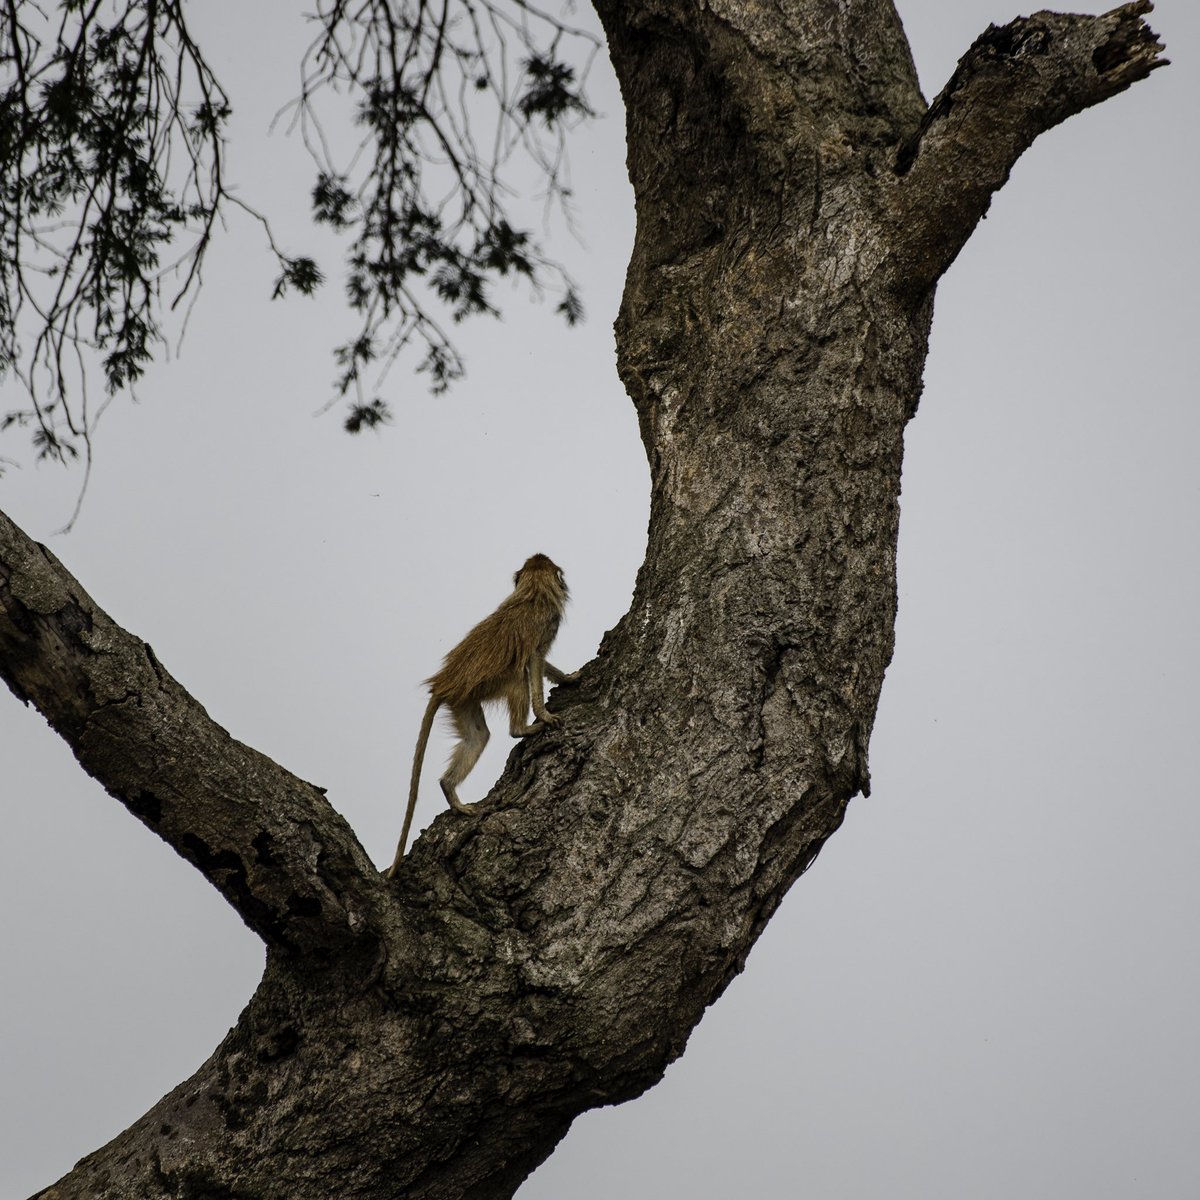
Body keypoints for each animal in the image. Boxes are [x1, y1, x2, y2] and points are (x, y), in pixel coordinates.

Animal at [385, 554, 577, 877]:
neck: (532, 592)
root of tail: (445, 682)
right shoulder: (544, 627)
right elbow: (534, 662)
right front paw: (545, 714)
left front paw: (569, 679)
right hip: (486, 684)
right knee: (517, 678)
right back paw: (523, 729)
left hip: (463, 699)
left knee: (478, 737)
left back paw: (450, 790)